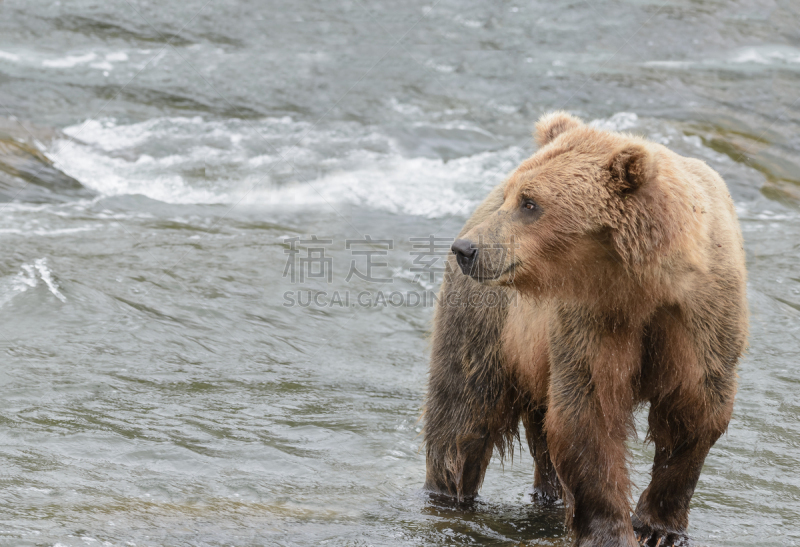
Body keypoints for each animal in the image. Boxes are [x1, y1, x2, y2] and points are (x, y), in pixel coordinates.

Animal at [422, 112, 748, 547]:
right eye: (514, 195)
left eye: (530, 203)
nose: (466, 249)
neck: (641, 285)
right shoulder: (591, 319)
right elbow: (588, 416)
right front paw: (611, 531)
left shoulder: (700, 316)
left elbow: (693, 411)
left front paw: (659, 528)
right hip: (489, 322)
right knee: (462, 412)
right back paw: (448, 493)